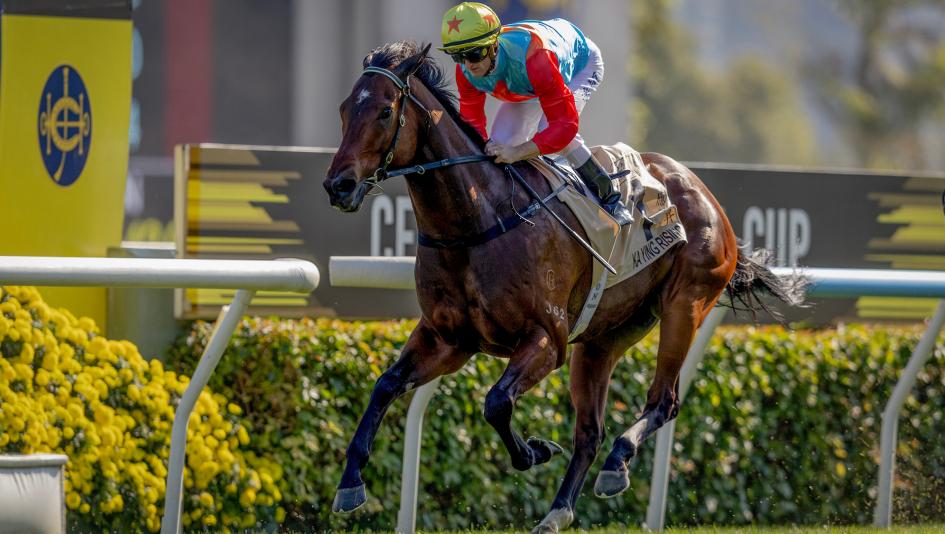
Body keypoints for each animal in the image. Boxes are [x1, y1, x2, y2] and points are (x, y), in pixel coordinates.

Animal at [322, 41, 804, 533]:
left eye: (385, 111)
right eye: (344, 109)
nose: (338, 185)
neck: (478, 221)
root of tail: (700, 190)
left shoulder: (546, 338)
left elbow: (496, 401)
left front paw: (535, 450)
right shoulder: (448, 339)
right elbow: (385, 385)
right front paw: (350, 484)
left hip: (684, 305)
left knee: (663, 402)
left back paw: (616, 465)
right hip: (603, 338)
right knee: (590, 431)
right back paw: (558, 510)